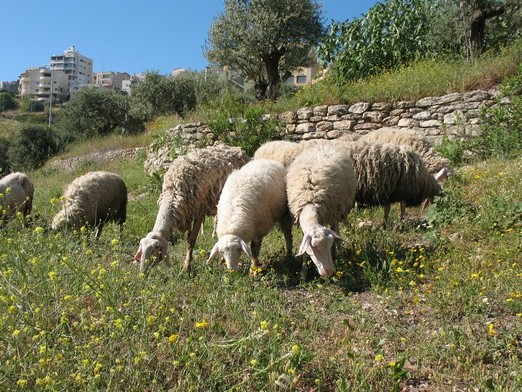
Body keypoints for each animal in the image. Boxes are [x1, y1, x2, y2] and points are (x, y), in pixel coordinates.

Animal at [133, 145, 249, 274]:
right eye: (141, 249)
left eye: (155, 248)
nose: (142, 272)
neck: (173, 193)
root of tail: (236, 149)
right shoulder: (186, 214)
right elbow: (187, 240)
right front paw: (187, 264)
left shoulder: (199, 211)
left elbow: (191, 241)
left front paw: (187, 268)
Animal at [284, 142, 358, 278]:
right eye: (315, 247)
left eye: (328, 245)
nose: (328, 272)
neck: (310, 201)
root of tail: (322, 145)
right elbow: (304, 250)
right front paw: (303, 272)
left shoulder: (333, 213)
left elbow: (337, 237)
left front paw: (341, 259)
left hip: (338, 209)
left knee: (337, 229)